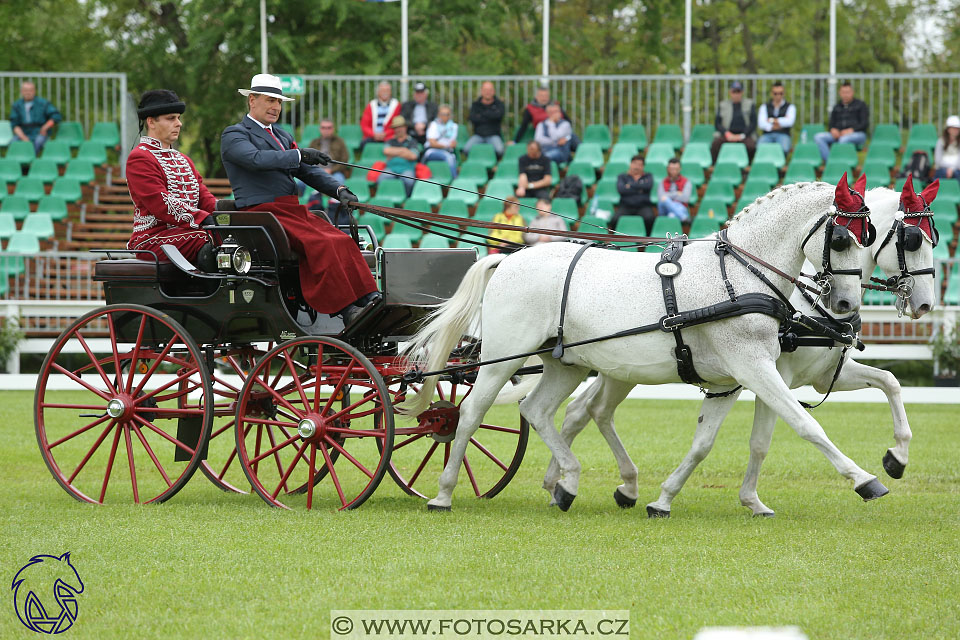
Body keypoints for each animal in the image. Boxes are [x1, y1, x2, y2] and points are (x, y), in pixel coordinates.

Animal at [400, 178, 884, 512]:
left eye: (870, 238)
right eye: (841, 238)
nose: (845, 305)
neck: (738, 275)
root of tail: (510, 258)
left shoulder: (732, 377)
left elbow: (709, 440)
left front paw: (665, 499)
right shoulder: (754, 367)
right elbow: (806, 424)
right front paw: (865, 479)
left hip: (566, 364)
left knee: (537, 410)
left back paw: (568, 483)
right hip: (502, 359)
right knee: (469, 414)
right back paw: (443, 493)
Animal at [544, 178, 940, 516]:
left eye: (933, 239)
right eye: (912, 240)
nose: (925, 304)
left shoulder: (824, 374)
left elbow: (889, 381)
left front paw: (897, 457)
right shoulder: (768, 372)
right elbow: (767, 438)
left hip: (621, 367)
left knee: (586, 409)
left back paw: (577, 482)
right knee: (587, 410)